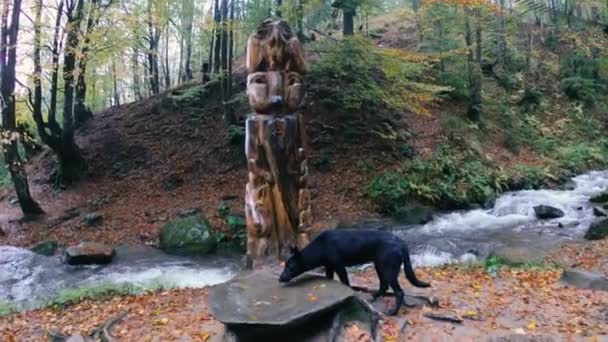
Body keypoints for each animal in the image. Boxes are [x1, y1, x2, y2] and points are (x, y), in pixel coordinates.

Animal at [278, 230, 430, 316]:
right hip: (380, 266)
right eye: (285, 265)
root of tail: (402, 243)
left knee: (399, 292)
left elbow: (345, 283)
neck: (321, 247)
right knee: (384, 286)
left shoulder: (339, 266)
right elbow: (330, 280)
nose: (280, 278)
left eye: (290, 267)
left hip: (388, 269)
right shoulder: (329, 267)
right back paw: (373, 297)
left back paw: (393, 312)